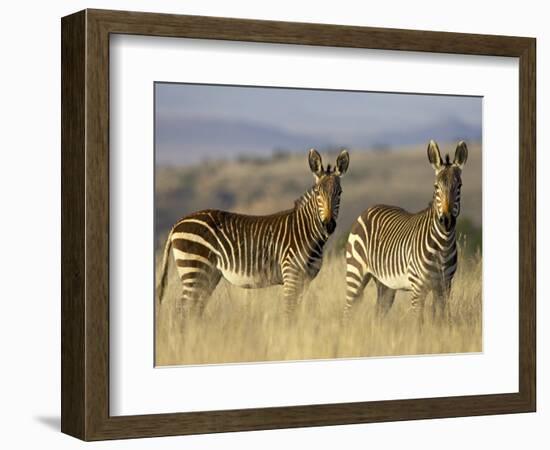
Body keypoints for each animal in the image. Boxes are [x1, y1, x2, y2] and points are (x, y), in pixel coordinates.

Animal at [157, 149, 352, 318]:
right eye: (318, 192)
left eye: (340, 193)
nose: (329, 225)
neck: (306, 232)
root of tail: (178, 223)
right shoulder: (291, 275)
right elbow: (289, 313)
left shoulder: (305, 280)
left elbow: (295, 313)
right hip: (194, 269)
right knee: (182, 311)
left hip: (208, 275)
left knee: (194, 310)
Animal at [344, 141, 470, 324]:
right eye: (436, 187)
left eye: (459, 186)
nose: (446, 220)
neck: (443, 245)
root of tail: (368, 210)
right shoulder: (418, 288)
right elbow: (418, 322)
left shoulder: (444, 286)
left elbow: (441, 321)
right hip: (355, 273)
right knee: (347, 311)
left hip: (385, 284)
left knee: (378, 314)